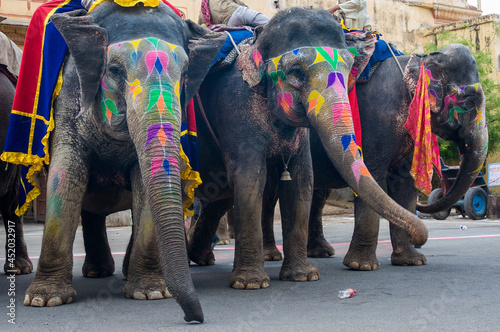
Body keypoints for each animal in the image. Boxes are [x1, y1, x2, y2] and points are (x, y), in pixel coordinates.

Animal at [21, 1, 225, 324]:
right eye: (115, 70)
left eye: (185, 75)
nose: (194, 318)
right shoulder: (66, 101)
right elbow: (64, 176)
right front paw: (44, 300)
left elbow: (145, 183)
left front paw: (150, 293)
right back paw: (95, 273)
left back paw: (117, 272)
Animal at [186, 5, 428, 290]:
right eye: (296, 73)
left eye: (349, 71)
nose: (422, 238)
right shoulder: (235, 108)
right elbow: (249, 180)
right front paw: (251, 284)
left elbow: (302, 181)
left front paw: (304, 276)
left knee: (218, 198)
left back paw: (200, 258)